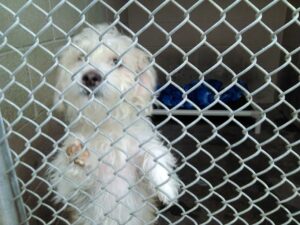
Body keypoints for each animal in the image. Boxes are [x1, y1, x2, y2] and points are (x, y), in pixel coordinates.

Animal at [49, 23, 179, 224]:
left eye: (116, 61)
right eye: (81, 57)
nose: (90, 77)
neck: (107, 125)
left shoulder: (140, 143)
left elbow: (154, 153)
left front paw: (166, 187)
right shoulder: (69, 190)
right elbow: (68, 180)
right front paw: (77, 157)